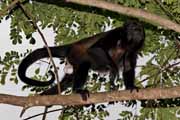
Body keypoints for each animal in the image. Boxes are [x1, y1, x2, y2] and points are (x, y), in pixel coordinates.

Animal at [17, 19, 145, 100]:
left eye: (140, 28)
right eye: (133, 27)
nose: (138, 31)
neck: (125, 43)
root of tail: (73, 45)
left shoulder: (132, 50)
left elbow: (128, 66)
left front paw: (130, 86)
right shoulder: (115, 34)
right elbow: (97, 48)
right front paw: (113, 70)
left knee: (66, 82)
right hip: (75, 54)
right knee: (84, 64)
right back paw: (78, 90)